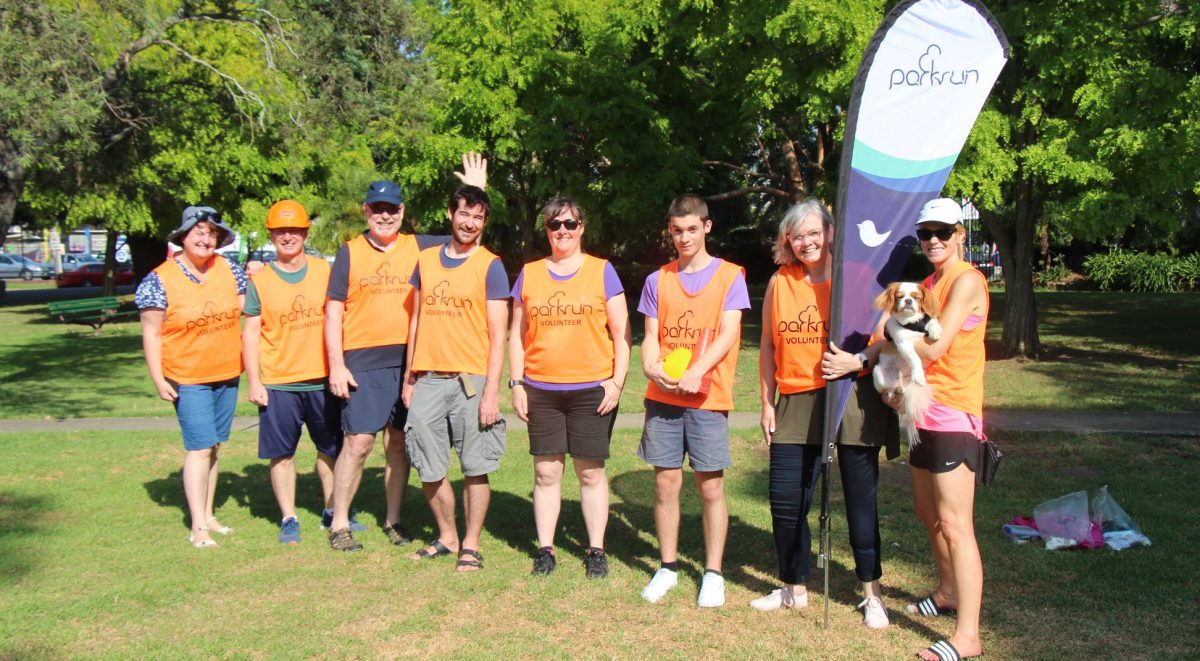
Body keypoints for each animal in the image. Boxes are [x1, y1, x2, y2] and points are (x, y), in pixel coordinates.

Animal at [878, 281, 940, 448]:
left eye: (916, 298)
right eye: (900, 297)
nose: (908, 301)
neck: (910, 323)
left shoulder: (925, 322)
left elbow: (932, 321)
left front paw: (935, 331)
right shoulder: (903, 343)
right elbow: (915, 358)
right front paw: (918, 375)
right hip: (879, 373)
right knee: (888, 391)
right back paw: (897, 391)